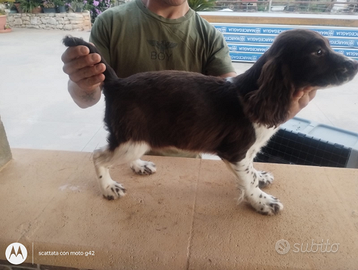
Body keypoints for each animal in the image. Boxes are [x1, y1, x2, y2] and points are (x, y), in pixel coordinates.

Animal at [64, 29, 358, 215]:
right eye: (318, 52)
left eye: (328, 46)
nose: (355, 65)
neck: (253, 94)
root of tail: (117, 83)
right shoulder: (235, 151)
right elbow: (248, 180)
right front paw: (261, 202)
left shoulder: (248, 151)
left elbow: (252, 170)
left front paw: (261, 177)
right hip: (130, 138)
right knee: (98, 156)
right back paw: (108, 187)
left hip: (136, 138)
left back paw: (139, 166)